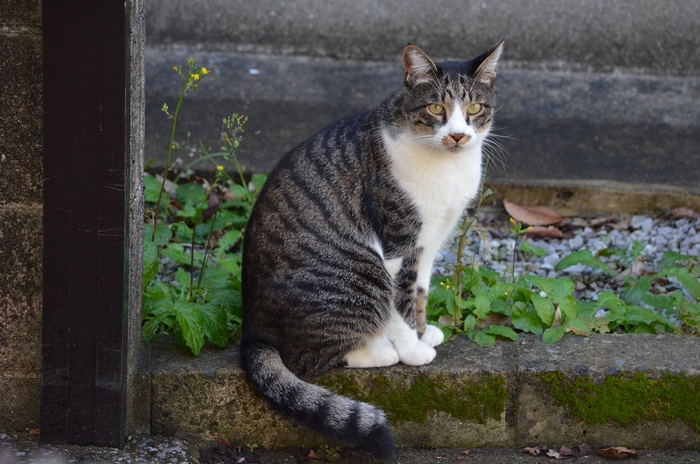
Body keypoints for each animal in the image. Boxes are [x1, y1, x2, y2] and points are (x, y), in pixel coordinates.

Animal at [241, 40, 504, 460]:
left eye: (475, 108)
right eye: (436, 109)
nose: (458, 136)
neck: (447, 167)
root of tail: (253, 334)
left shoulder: (429, 242)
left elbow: (420, 290)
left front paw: (423, 331)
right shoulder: (398, 243)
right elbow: (400, 300)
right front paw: (412, 349)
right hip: (363, 271)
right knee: (307, 361)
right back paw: (381, 351)